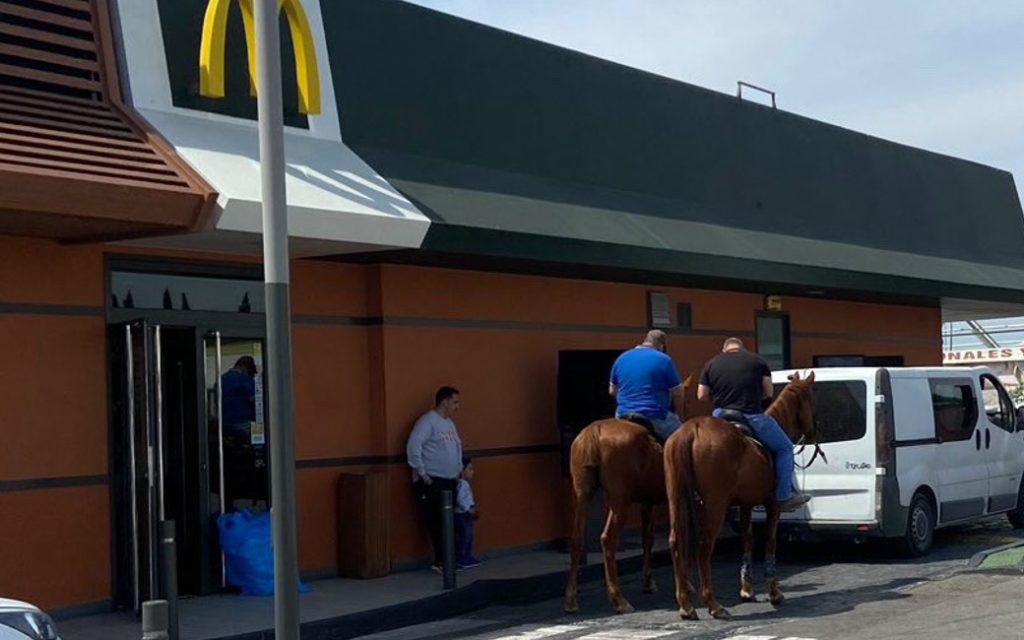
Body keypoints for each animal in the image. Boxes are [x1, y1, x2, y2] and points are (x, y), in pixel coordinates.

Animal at [565, 376, 708, 610]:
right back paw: (618, 598)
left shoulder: (647, 502)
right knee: (607, 539)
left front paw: (648, 582)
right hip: (619, 501)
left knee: (577, 539)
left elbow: (647, 538)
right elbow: (680, 535)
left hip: (582, 494)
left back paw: (571, 598)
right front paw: (686, 584)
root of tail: (594, 432)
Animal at [663, 368, 823, 618]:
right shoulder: (773, 505)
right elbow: (770, 541)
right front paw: (774, 592)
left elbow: (747, 540)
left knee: (676, 541)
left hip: (676, 499)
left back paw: (686, 605)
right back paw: (713, 604)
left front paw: (747, 589)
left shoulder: (746, 504)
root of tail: (692, 430)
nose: (814, 431)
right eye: (812, 398)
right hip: (715, 504)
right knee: (704, 546)